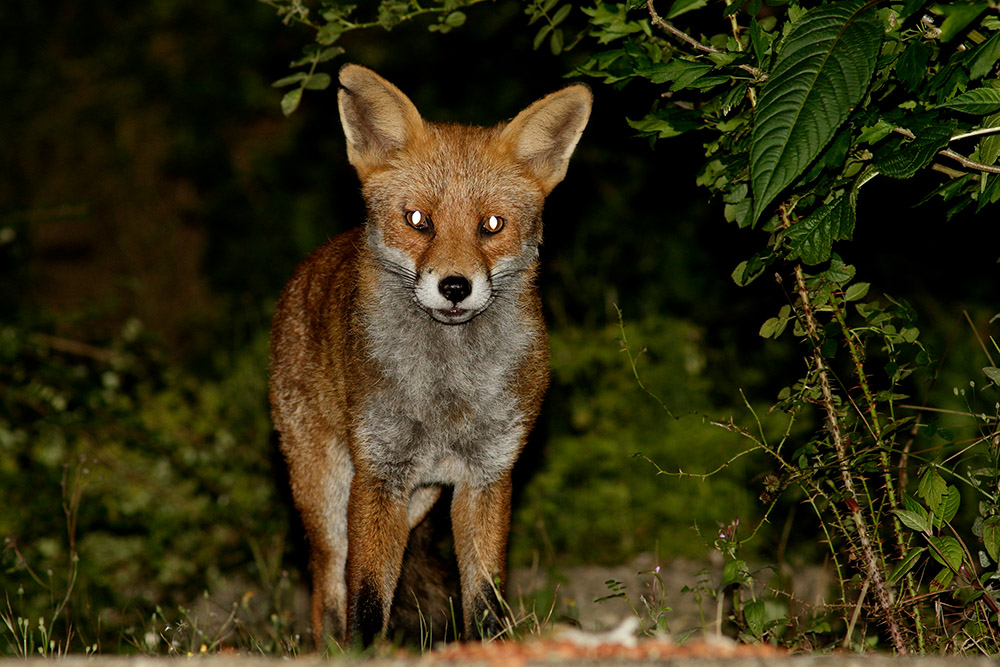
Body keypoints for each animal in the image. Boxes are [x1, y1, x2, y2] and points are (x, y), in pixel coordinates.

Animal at [268, 64, 591, 648]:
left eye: (492, 225)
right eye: (419, 220)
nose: (456, 286)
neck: (448, 390)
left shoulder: (486, 477)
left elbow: (484, 598)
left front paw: (489, 648)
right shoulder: (380, 473)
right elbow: (367, 596)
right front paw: (363, 654)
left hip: (419, 502)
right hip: (327, 493)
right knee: (329, 585)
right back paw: (330, 649)